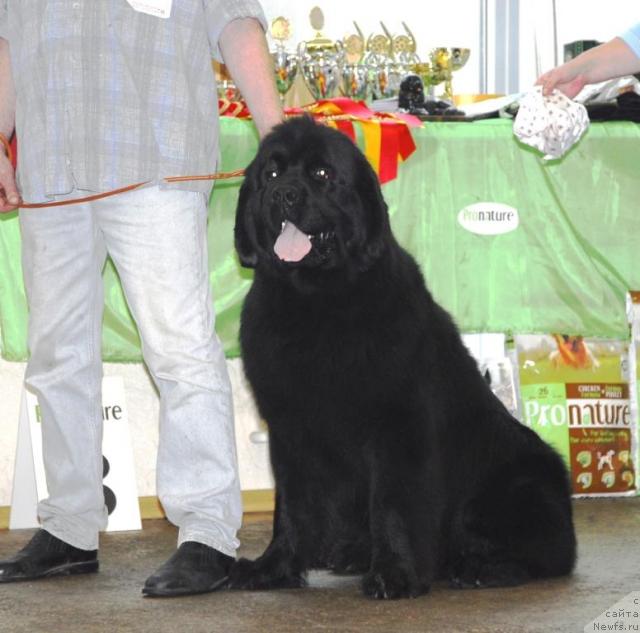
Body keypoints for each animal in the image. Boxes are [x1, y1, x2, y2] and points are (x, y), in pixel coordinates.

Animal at [229, 117, 576, 596]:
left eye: (321, 174)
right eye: (272, 174)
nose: (284, 195)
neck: (316, 304)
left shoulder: (398, 426)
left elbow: (393, 503)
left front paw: (394, 575)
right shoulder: (289, 430)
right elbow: (292, 508)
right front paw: (274, 567)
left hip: (518, 484)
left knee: (539, 555)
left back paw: (478, 569)